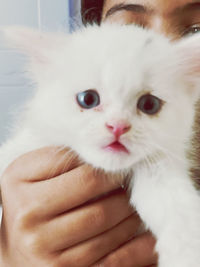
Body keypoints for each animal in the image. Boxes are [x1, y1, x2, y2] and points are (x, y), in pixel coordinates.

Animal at [1, 24, 200, 266]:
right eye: (88, 99)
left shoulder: (160, 166)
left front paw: (187, 252)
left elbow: (179, 209)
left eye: (149, 104)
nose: (118, 126)